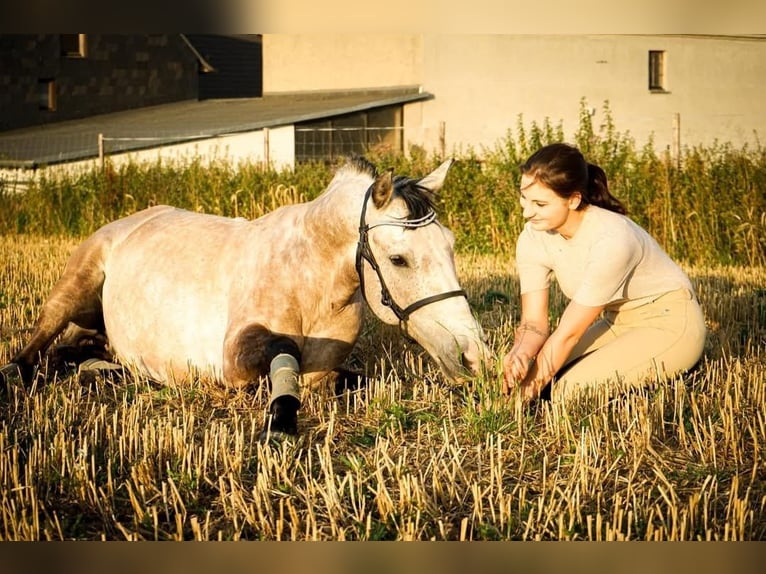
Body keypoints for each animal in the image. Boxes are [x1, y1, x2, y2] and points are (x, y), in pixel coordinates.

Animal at [0, 158, 492, 440]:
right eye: (398, 259)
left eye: (450, 245)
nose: (473, 356)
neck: (311, 278)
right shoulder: (235, 358)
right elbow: (283, 356)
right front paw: (281, 421)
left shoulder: (329, 369)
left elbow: (353, 379)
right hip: (73, 287)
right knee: (37, 346)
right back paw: (17, 373)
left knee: (84, 351)